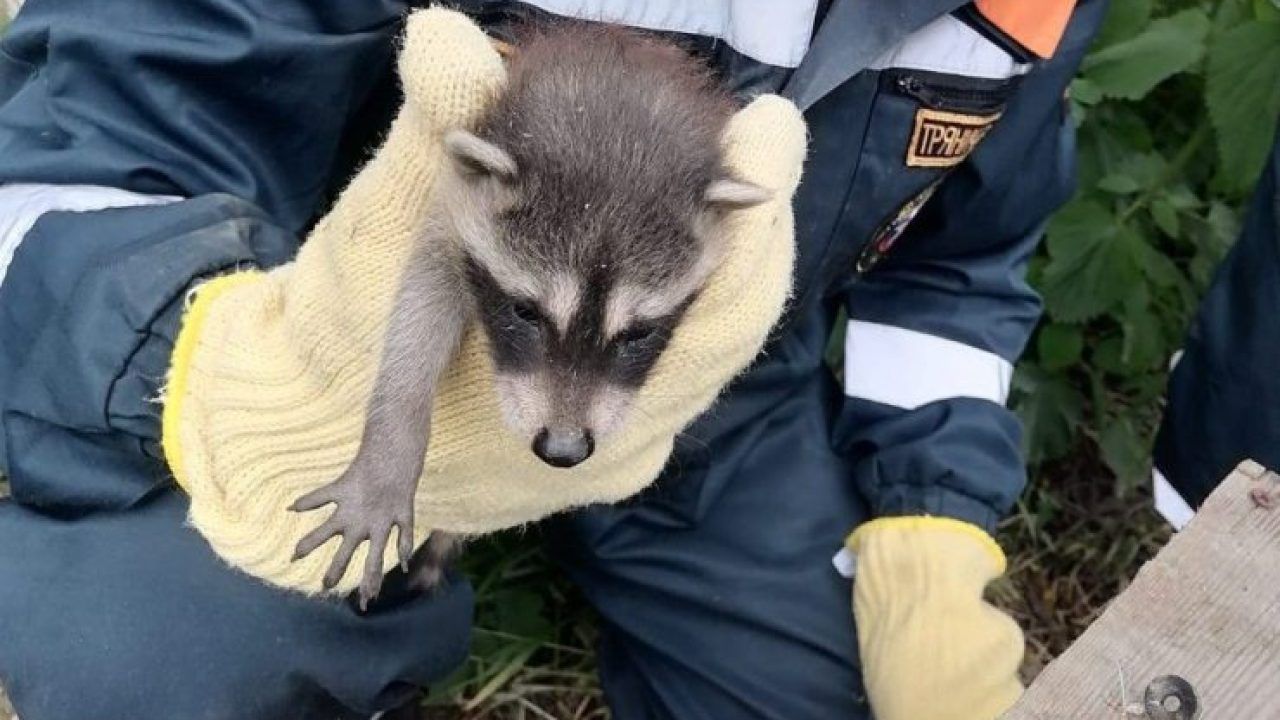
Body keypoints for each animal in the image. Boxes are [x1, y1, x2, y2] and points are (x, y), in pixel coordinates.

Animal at [290, 20, 768, 604]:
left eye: (638, 333)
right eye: (524, 311)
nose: (563, 449)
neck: (612, 111)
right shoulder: (451, 213)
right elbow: (417, 316)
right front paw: (390, 449)